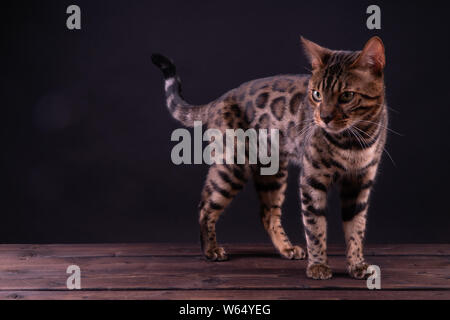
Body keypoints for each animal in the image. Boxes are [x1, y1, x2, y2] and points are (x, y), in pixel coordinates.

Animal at [152, 36, 386, 278]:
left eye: (347, 96)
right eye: (317, 95)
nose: (324, 117)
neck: (353, 142)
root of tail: (221, 98)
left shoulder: (360, 182)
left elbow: (356, 228)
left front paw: (357, 264)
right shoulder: (312, 180)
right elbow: (315, 227)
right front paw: (318, 266)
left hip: (272, 173)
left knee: (267, 213)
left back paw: (286, 248)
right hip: (232, 166)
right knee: (205, 204)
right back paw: (211, 250)